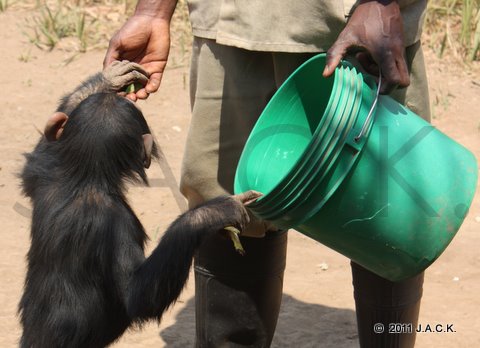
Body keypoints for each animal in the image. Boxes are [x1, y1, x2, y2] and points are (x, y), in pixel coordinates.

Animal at [18, 61, 260, 346]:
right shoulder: (117, 221)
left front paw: (109, 79)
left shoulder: (47, 175)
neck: (85, 178)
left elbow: (39, 156)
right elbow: (137, 295)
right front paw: (212, 213)